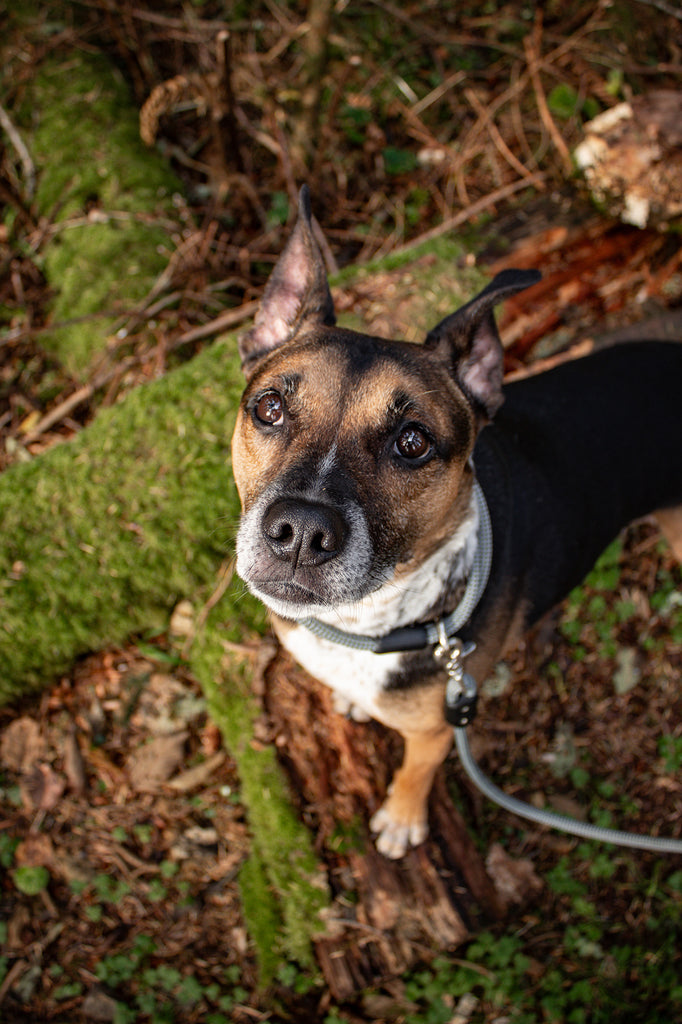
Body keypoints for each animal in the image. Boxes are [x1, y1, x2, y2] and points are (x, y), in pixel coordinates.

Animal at [229, 188, 679, 860]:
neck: (365, 624)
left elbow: (417, 767)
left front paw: (402, 819)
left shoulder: (441, 723)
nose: (300, 533)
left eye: (413, 443)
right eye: (270, 408)